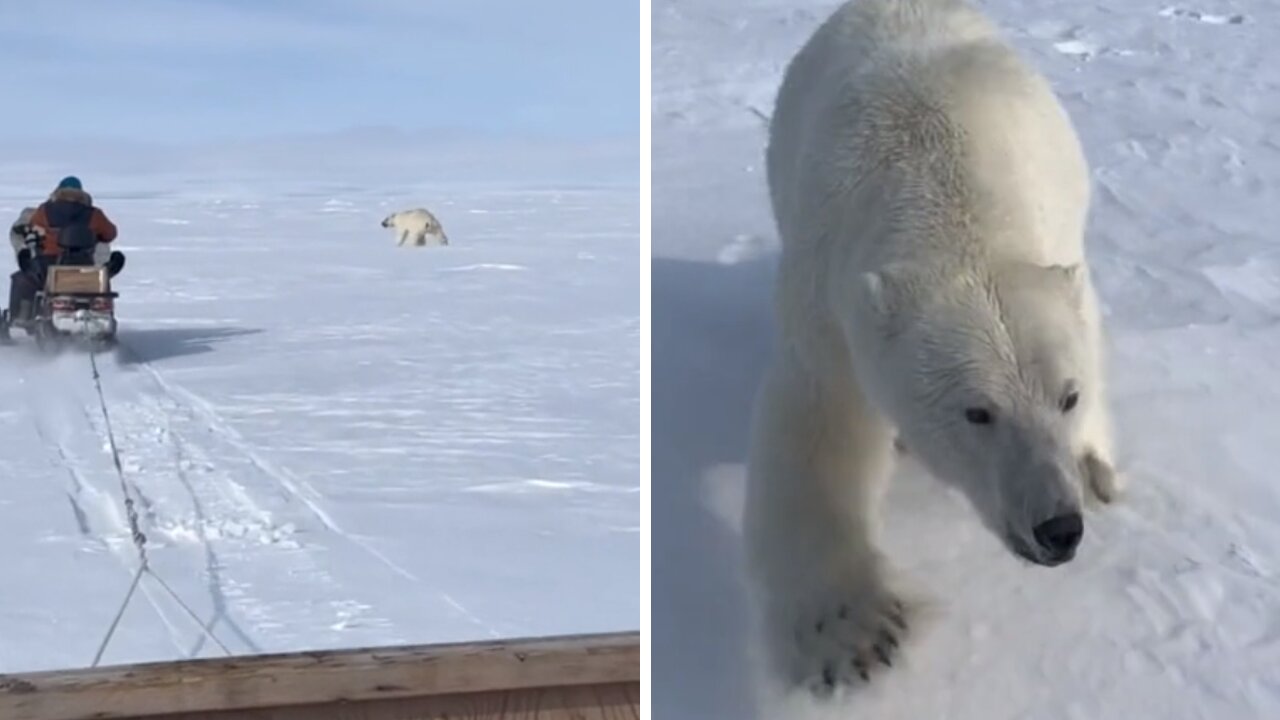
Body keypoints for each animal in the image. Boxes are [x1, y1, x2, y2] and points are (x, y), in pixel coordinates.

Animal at [747, 0, 1116, 696]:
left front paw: (1095, 464)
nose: (1058, 528)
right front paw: (856, 633)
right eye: (978, 412)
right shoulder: (831, 296)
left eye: (1069, 396)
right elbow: (820, 429)